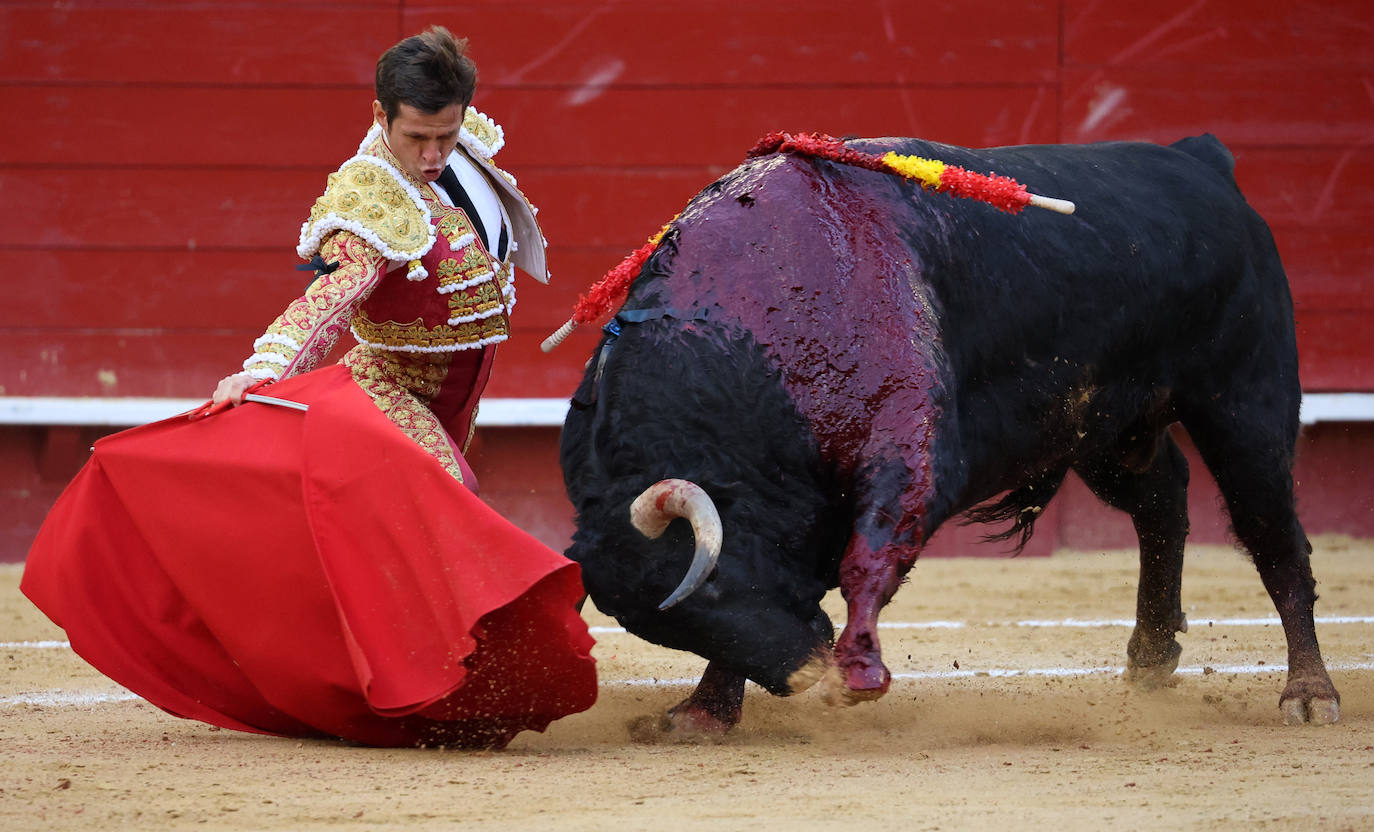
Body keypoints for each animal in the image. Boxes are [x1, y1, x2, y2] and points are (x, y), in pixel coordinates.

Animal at [552, 133, 1335, 741]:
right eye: (667, 627)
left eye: (709, 590)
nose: (807, 678)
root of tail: (1202, 161)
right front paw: (705, 712)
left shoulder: (908, 451)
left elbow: (868, 558)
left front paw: (860, 673)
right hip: (1105, 430)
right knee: (1163, 504)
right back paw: (1148, 659)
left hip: (1245, 403)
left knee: (1272, 535)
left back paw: (1309, 693)